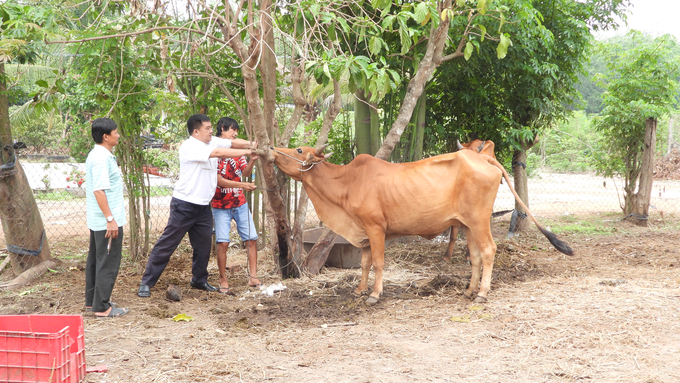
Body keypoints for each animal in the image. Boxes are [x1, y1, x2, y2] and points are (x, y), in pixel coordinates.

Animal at [268, 145, 572, 306]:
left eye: (298, 149)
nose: (271, 148)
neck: (346, 182)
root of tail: (480, 156)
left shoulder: (375, 228)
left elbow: (378, 262)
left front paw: (375, 294)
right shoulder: (363, 231)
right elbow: (364, 263)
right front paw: (360, 290)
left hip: (479, 220)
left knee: (488, 251)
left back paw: (482, 293)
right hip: (467, 225)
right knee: (475, 256)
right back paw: (469, 290)